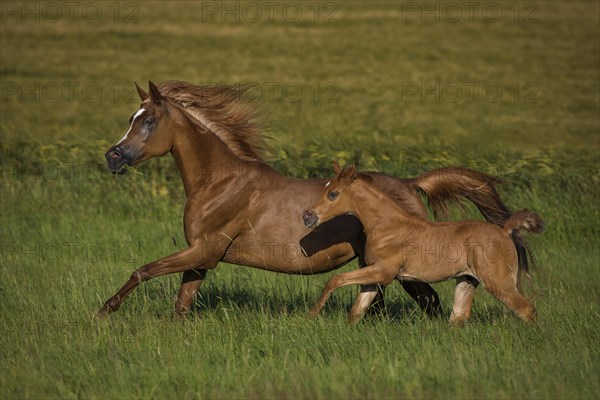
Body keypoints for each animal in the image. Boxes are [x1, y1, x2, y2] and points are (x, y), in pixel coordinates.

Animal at [304, 162, 544, 324]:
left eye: (333, 193)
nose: (308, 216)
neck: (387, 226)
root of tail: (504, 231)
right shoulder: (373, 276)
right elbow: (356, 311)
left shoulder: (384, 272)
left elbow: (335, 280)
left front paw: (312, 315)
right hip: (467, 280)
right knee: (458, 316)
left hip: (499, 283)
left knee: (526, 309)